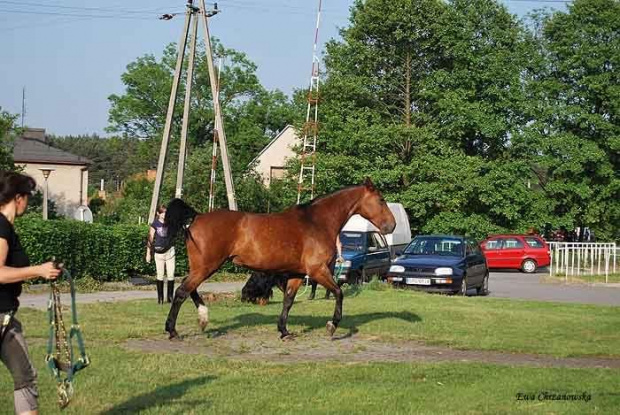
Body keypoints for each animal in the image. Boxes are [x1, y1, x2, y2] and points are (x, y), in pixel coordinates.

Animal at [162, 179, 394, 342]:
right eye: (381, 200)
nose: (391, 226)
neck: (317, 222)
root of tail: (196, 217)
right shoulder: (317, 270)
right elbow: (338, 292)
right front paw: (332, 325)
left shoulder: (297, 274)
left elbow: (288, 301)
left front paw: (284, 331)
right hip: (207, 266)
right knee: (182, 291)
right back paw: (174, 330)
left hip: (202, 267)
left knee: (188, 289)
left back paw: (202, 319)